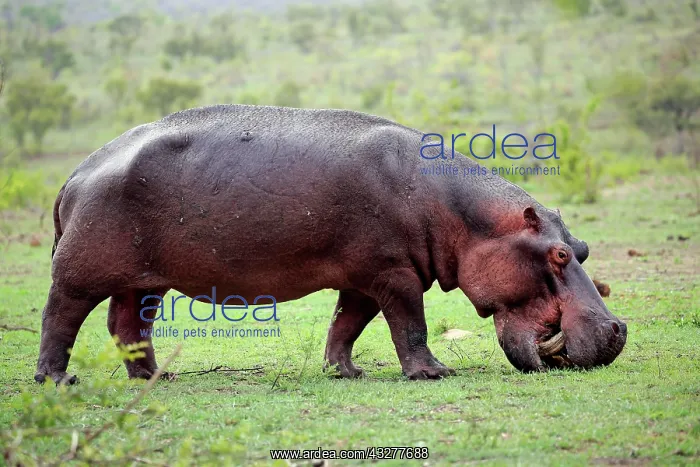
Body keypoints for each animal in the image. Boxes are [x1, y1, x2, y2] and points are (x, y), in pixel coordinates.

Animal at [35, 105, 627, 384]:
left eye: (583, 248)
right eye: (557, 254)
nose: (615, 332)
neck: (467, 215)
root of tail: (75, 173)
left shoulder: (364, 277)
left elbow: (347, 324)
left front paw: (345, 372)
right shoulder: (395, 273)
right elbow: (410, 323)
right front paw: (434, 373)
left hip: (145, 279)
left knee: (127, 324)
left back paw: (157, 377)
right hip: (83, 270)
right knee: (61, 316)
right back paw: (59, 381)